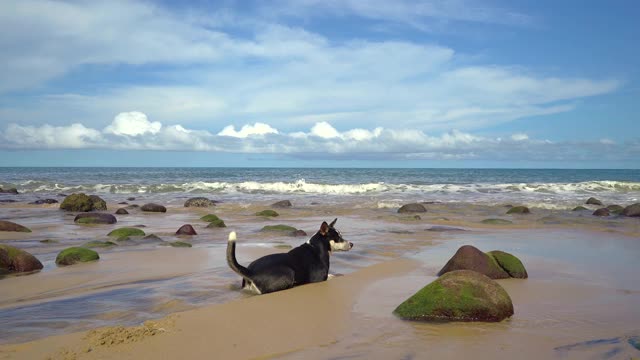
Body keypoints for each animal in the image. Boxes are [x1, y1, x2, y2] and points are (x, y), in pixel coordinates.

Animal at [226, 218, 356, 294]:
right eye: (338, 238)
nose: (352, 244)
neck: (316, 247)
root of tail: (250, 272)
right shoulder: (319, 279)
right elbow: (333, 276)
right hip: (288, 272)